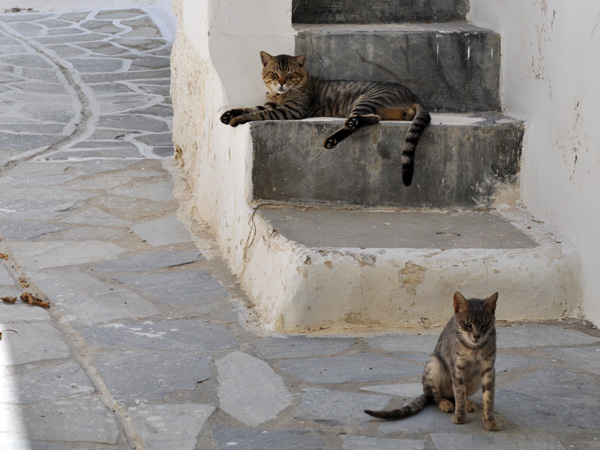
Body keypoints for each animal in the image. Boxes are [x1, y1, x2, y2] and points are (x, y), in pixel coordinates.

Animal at [220, 51, 432, 186]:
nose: (281, 83)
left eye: (290, 75)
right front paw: (229, 114)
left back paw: (334, 138)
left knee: (362, 120)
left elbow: (257, 113)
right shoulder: (272, 105)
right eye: (274, 73)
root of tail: (413, 95)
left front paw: (237, 119)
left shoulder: (290, 110)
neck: (279, 96)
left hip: (366, 99)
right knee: (380, 117)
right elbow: (250, 107)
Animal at [366, 292, 502, 432]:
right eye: (467, 324)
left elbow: (488, 398)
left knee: (455, 395)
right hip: (434, 363)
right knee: (436, 396)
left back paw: (467, 403)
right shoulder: (457, 368)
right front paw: (460, 415)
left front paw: (490, 420)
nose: (476, 336)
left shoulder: (489, 369)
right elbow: (459, 393)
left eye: (485, 324)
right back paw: (445, 403)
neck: (474, 349)